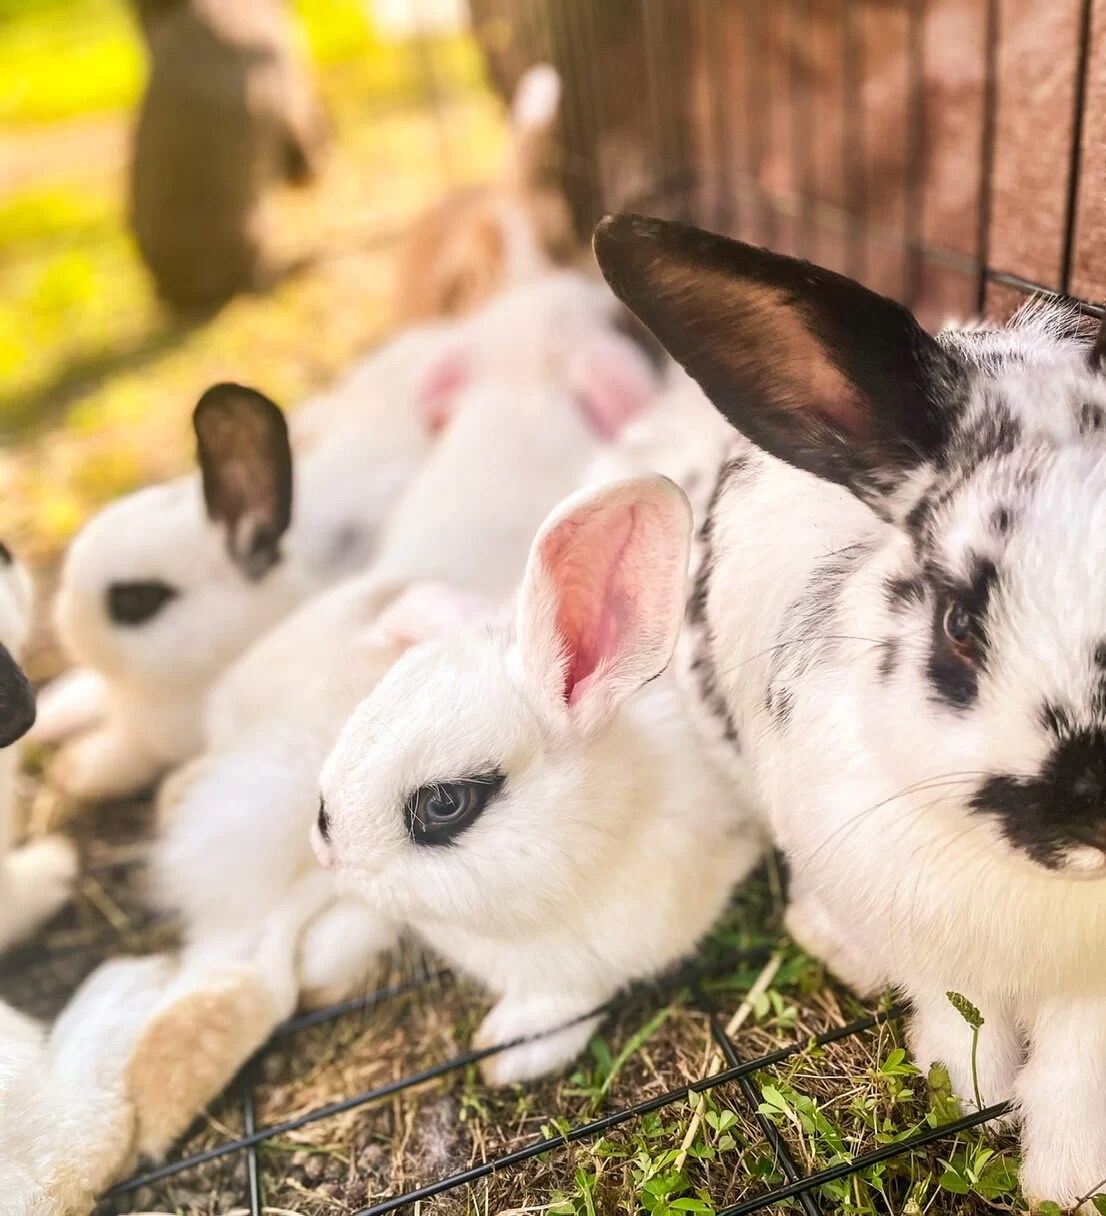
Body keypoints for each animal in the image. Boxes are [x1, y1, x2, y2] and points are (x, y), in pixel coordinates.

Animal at [594, 211, 1106, 1211]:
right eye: (959, 622)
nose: (1092, 809)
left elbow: (1077, 1076)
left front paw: (1066, 1182)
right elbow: (963, 1020)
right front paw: (964, 1091)